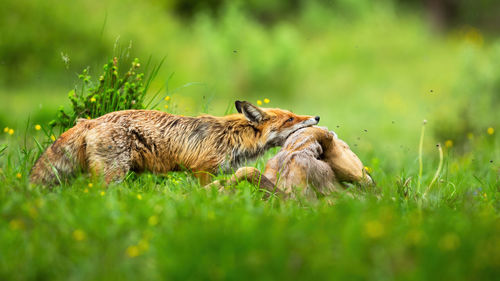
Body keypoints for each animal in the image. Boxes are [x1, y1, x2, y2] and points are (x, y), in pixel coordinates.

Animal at [30, 100, 320, 184]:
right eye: (291, 118)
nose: (316, 116)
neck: (232, 137)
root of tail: (88, 121)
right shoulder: (203, 170)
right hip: (113, 175)